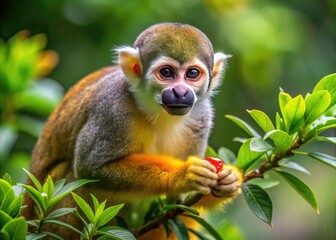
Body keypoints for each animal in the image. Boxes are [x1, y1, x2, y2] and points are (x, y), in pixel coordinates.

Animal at [23, 22, 243, 238]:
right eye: (166, 73)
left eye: (192, 73)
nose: (180, 92)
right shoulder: (112, 109)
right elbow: (91, 167)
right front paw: (183, 175)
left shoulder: (203, 116)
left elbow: (178, 203)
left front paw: (229, 181)